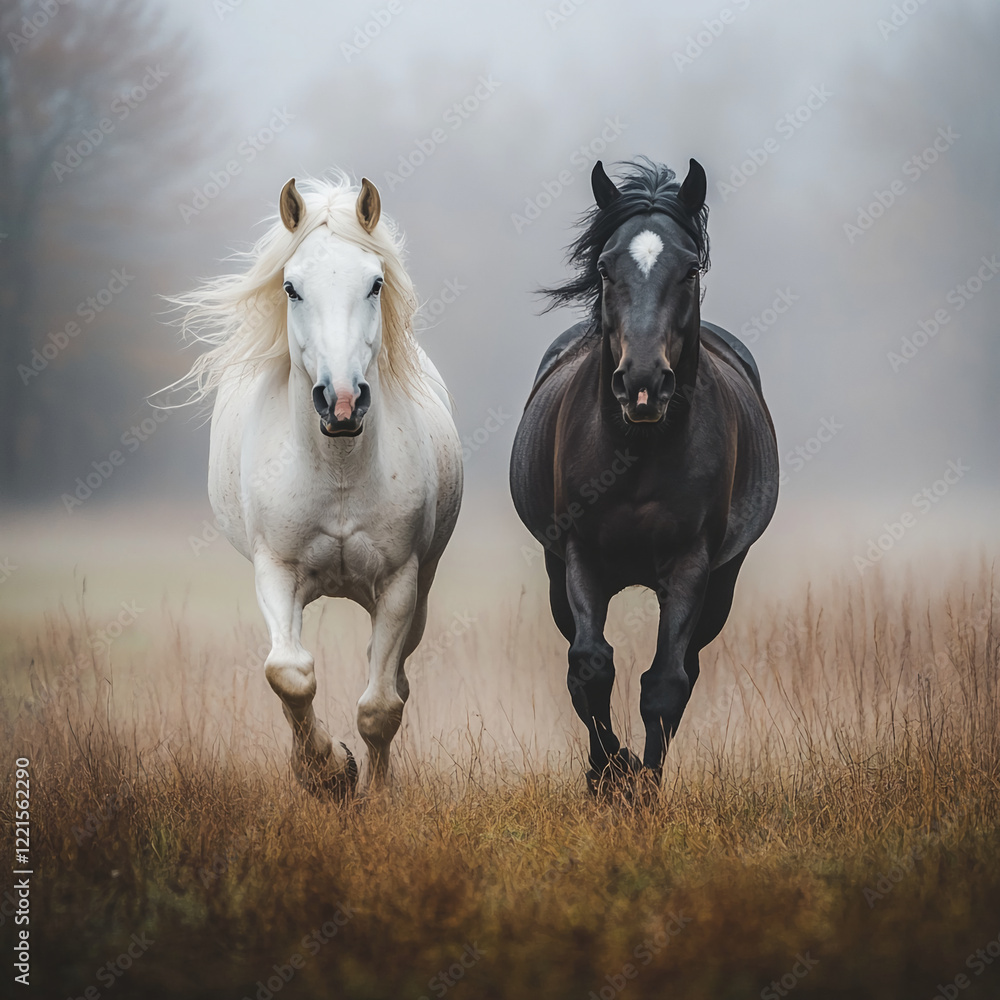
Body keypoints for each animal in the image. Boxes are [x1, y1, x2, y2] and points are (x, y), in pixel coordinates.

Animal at [167, 174, 463, 796]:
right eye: (291, 288)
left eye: (375, 283)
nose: (342, 402)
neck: (340, 469)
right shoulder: (276, 571)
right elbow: (289, 674)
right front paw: (327, 771)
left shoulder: (400, 583)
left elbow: (380, 707)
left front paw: (375, 793)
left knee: (393, 680)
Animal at [509, 157, 778, 798]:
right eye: (606, 267)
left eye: (690, 268)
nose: (643, 384)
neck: (638, 455)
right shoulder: (579, 555)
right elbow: (590, 665)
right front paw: (609, 774)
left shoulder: (692, 562)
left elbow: (664, 682)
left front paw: (644, 788)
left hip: (722, 583)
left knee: (687, 667)